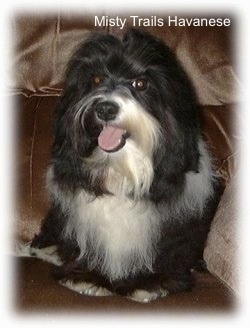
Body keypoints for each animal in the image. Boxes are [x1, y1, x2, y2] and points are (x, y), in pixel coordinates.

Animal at [30, 29, 220, 304]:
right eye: (96, 78)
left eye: (140, 84)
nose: (105, 108)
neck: (120, 170)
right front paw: (87, 278)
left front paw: (148, 283)